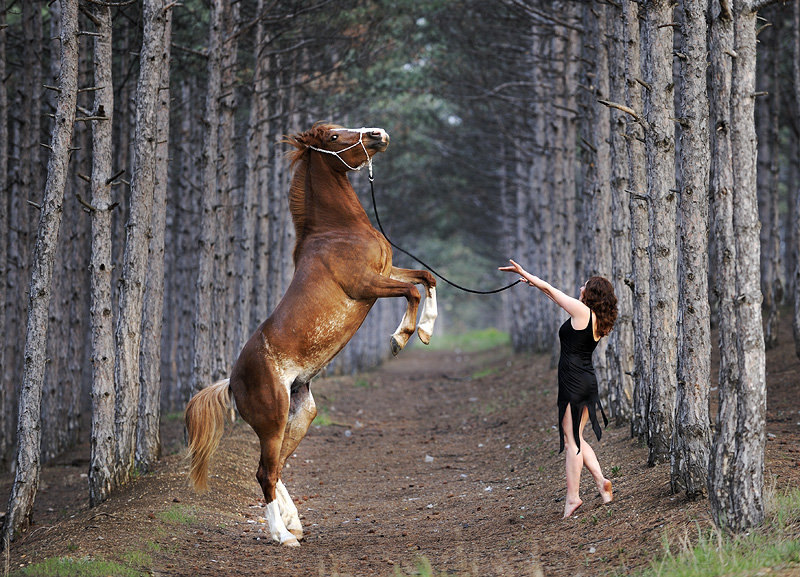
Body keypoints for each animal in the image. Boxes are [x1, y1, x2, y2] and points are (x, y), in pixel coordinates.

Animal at [184, 124, 438, 548]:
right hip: (272, 419)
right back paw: (281, 535)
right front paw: (400, 337)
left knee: (277, 468)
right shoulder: (367, 284)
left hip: (301, 413)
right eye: (334, 137)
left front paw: (427, 331)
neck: (338, 231)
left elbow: (426, 277)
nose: (378, 134)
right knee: (264, 472)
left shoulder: (386, 271)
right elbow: (413, 290)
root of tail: (232, 382)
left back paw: (294, 524)